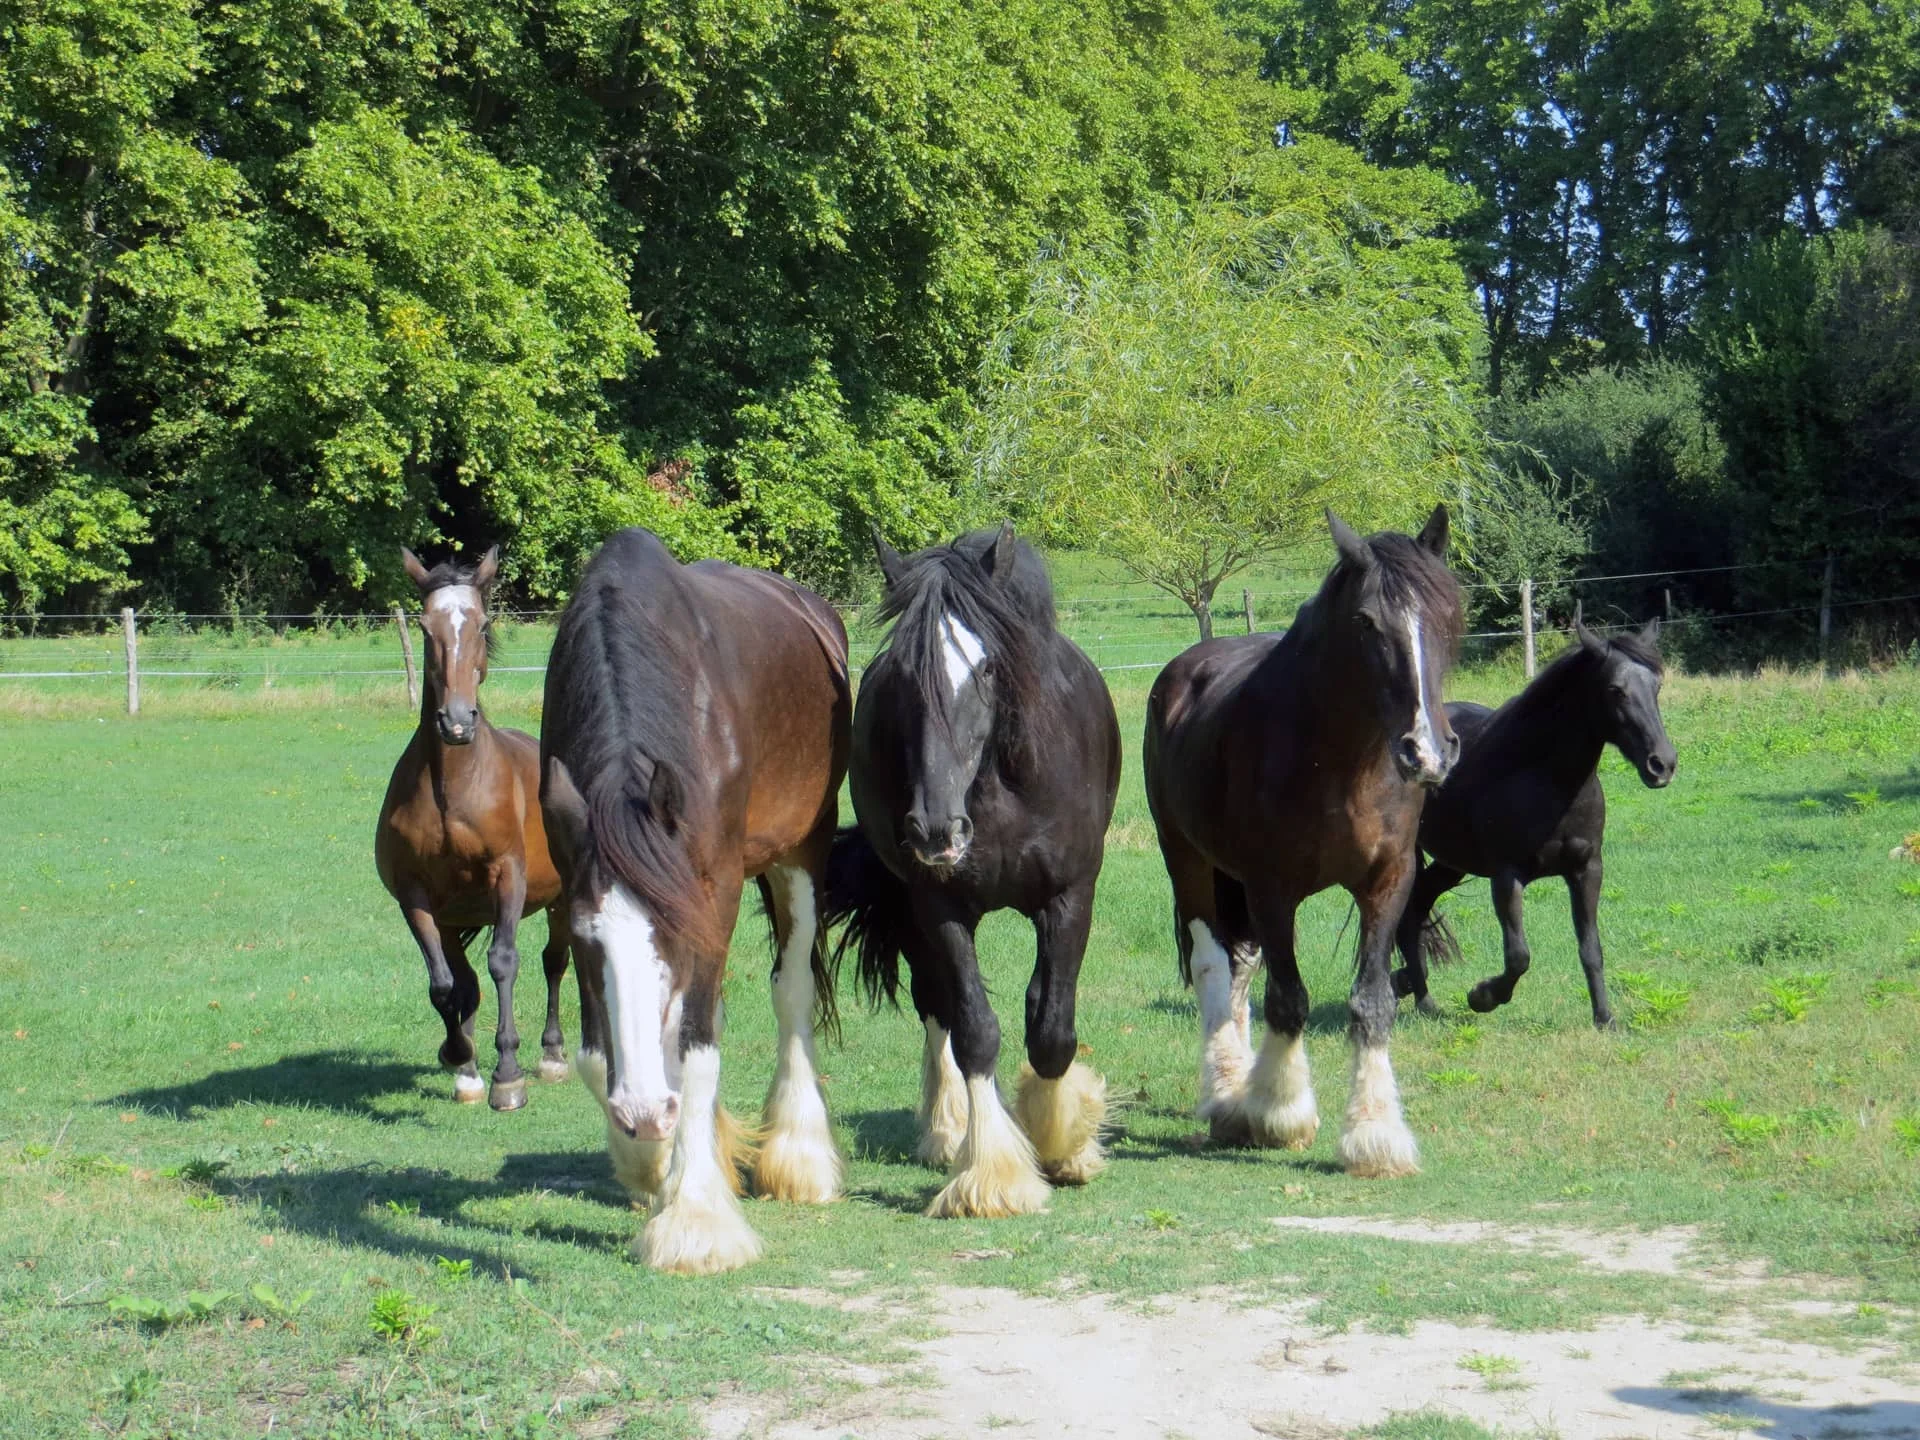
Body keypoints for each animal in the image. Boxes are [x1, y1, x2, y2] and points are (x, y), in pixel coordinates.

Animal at [374, 546, 571, 1110]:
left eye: (481, 625)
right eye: (424, 626)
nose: (457, 722)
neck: (453, 791)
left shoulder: (508, 877)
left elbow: (505, 962)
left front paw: (508, 1077)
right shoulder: (417, 897)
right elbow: (445, 985)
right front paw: (462, 1061)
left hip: (562, 900)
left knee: (554, 962)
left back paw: (553, 1056)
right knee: (465, 980)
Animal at [537, 528, 850, 1274]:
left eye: (678, 934)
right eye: (588, 940)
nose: (645, 1113)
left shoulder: (716, 901)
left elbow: (699, 1050)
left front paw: (696, 1218)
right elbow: (598, 1052)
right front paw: (649, 1163)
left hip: (802, 852)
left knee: (792, 990)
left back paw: (799, 1157)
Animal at [824, 523, 1121, 1218]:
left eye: (987, 667)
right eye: (904, 677)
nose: (935, 829)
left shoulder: (1070, 896)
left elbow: (1052, 1029)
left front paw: (1061, 1142)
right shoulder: (939, 907)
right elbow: (975, 1032)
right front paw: (993, 1174)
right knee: (938, 1005)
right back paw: (947, 1127)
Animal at [1143, 507, 1461, 1178]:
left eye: (1449, 611)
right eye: (1366, 621)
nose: (1427, 751)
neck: (1342, 761)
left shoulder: (1389, 881)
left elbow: (1372, 1001)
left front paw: (1375, 1134)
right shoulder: (1272, 887)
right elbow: (1289, 999)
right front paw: (1279, 1112)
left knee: (1241, 965)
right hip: (1188, 860)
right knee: (1215, 964)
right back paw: (1225, 1093)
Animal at [1391, 605, 1676, 1028]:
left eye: (1656, 686)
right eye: (1615, 690)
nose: (1662, 764)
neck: (1544, 779)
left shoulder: (1587, 870)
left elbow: (1591, 948)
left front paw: (1604, 1018)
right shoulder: (1507, 877)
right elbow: (1518, 956)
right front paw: (1482, 996)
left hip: (1452, 862)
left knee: (1418, 906)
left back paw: (1415, 990)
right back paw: (1420, 997)